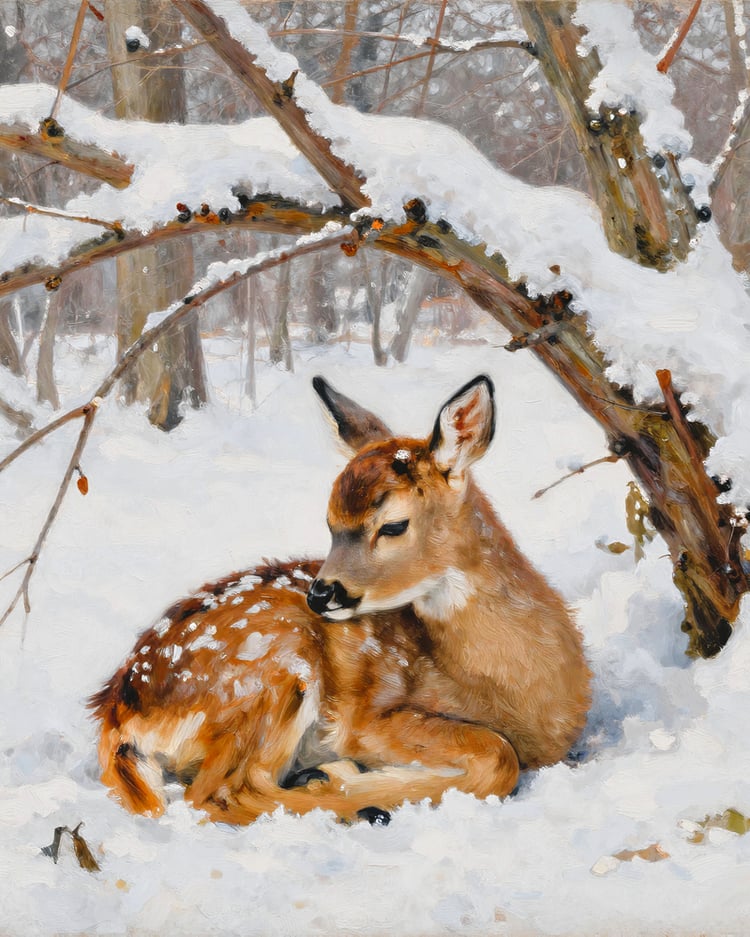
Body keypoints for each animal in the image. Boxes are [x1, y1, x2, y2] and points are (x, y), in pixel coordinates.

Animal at [90, 374, 591, 826]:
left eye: (393, 525)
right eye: (330, 523)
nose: (321, 593)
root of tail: (117, 710)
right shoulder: (367, 719)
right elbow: (498, 755)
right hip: (271, 671)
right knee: (221, 793)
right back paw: (353, 796)